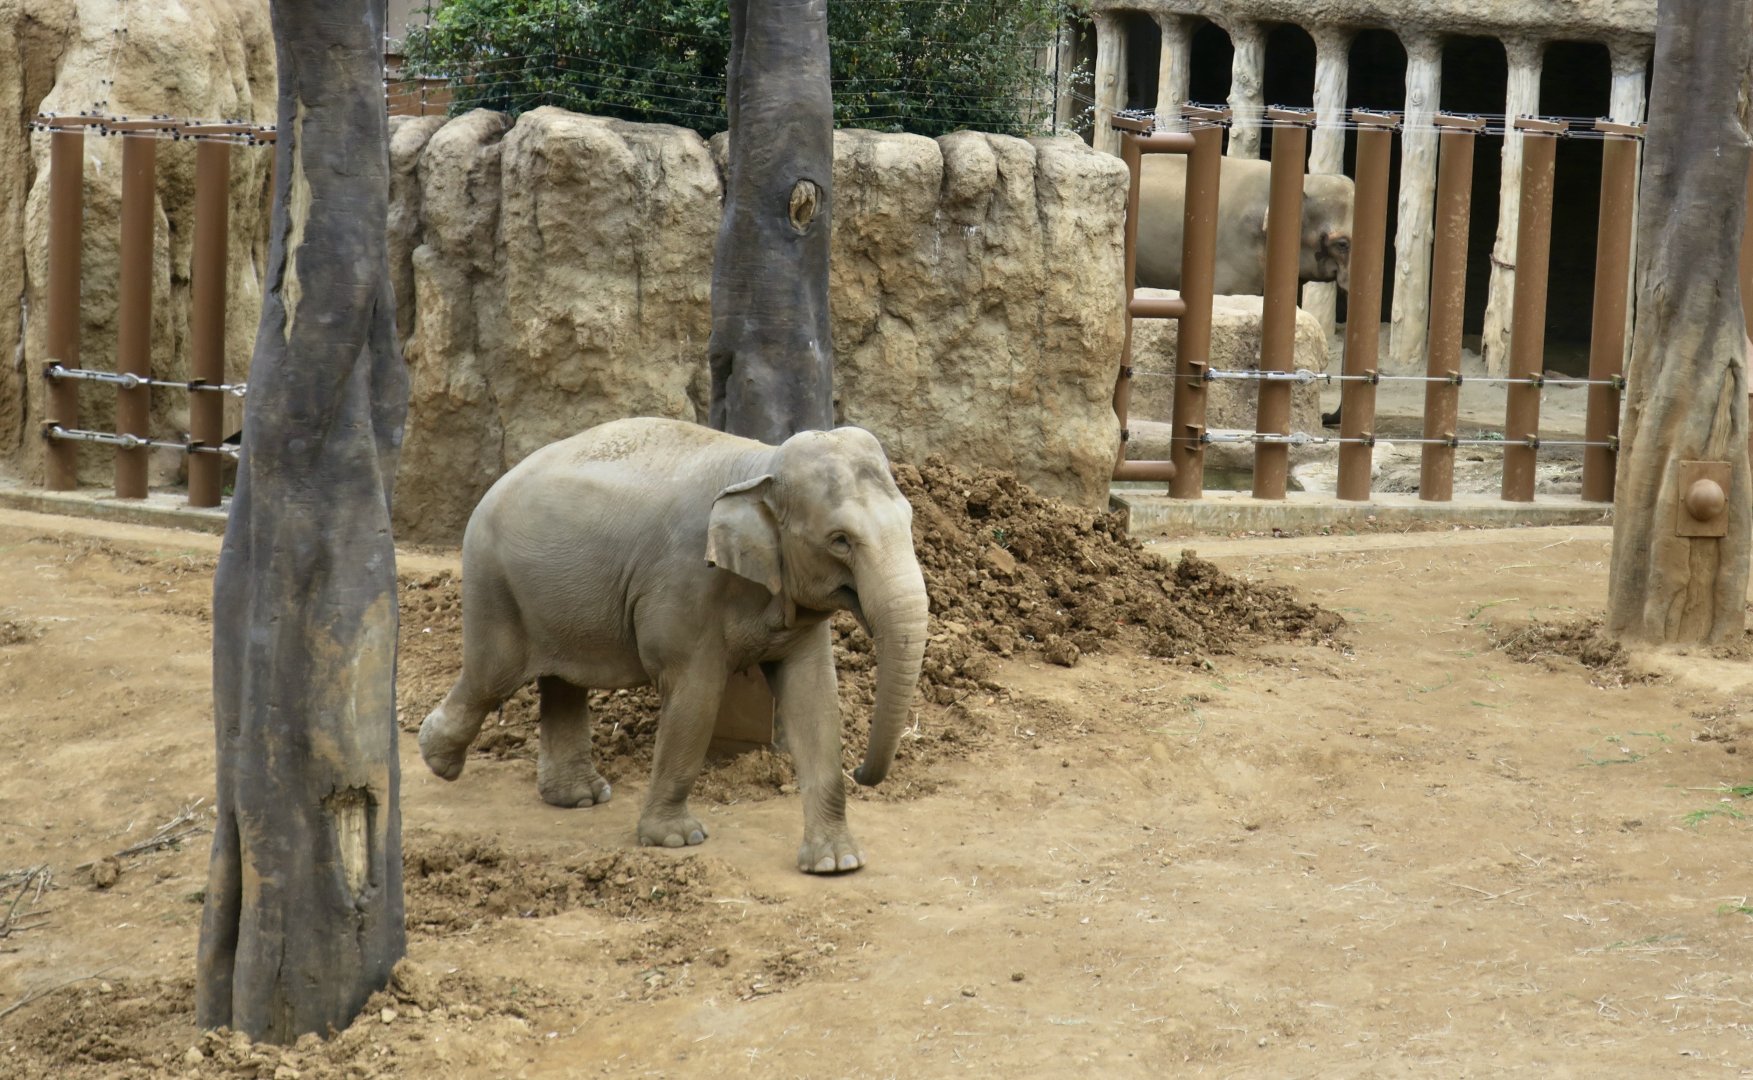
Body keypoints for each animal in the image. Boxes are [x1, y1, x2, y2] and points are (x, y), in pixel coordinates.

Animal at [417, 417, 929, 875]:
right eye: (840, 540)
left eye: (909, 520)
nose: (862, 773)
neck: (761, 464)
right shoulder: (684, 585)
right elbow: (695, 696)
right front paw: (677, 840)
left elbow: (815, 698)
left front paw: (836, 863)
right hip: (494, 582)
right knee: (492, 675)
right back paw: (436, 756)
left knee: (560, 680)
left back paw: (578, 797)